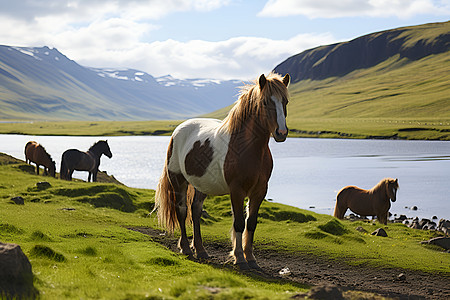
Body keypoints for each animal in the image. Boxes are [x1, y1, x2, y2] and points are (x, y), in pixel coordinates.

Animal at [153, 72, 290, 270]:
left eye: (285, 101)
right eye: (265, 102)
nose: (281, 133)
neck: (247, 148)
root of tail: (178, 130)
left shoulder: (259, 191)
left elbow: (251, 223)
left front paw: (251, 258)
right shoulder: (237, 190)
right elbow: (238, 223)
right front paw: (240, 259)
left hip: (201, 186)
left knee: (195, 211)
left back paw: (201, 250)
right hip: (178, 181)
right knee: (182, 211)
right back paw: (186, 249)